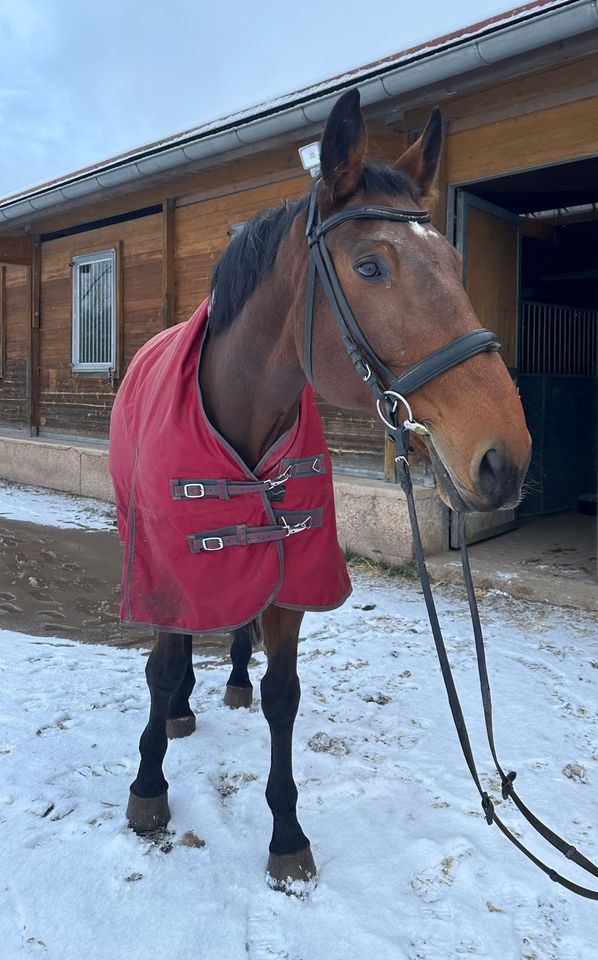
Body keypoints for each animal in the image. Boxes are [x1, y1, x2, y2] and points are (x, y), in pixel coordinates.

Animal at [110, 92, 532, 892]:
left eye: (454, 262)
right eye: (370, 266)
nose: (507, 459)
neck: (239, 416)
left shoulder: (292, 568)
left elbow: (283, 695)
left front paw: (285, 834)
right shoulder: (169, 565)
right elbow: (162, 664)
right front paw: (149, 783)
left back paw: (231, 681)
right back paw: (178, 710)